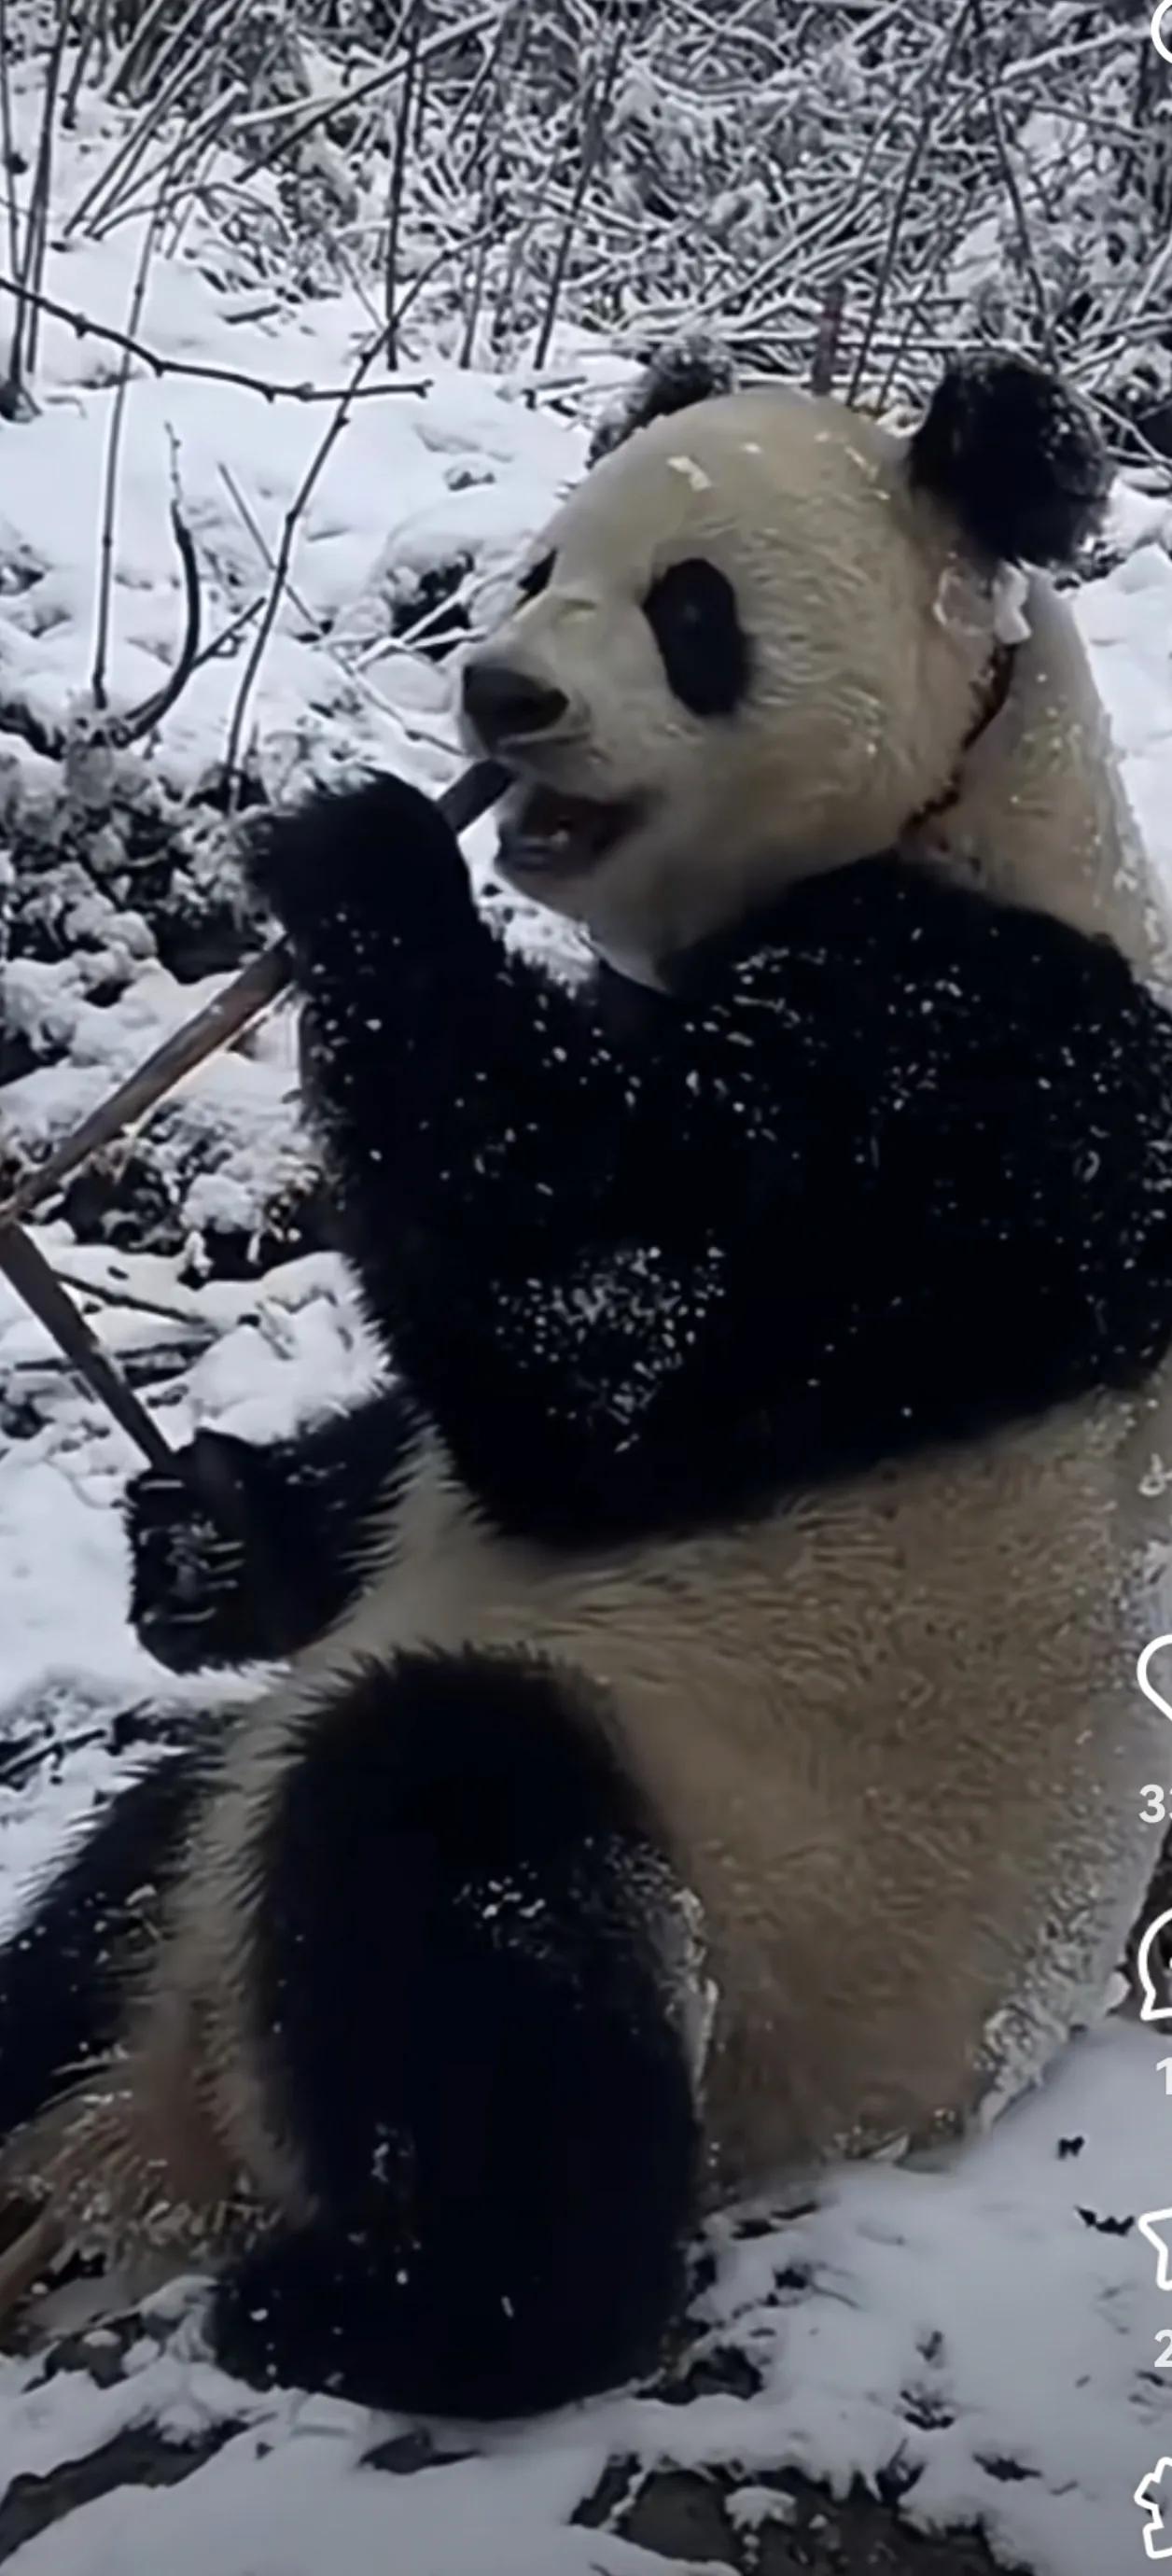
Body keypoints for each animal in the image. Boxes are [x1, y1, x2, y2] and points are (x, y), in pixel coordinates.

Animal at [2, 353, 1172, 2421]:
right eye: (544, 562)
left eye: (691, 613)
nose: (497, 697)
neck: (970, 803)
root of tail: (155, 2153)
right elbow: (433, 1423)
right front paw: (204, 1538)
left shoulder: (992, 1084)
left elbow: (613, 1341)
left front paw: (358, 860)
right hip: (192, 1916)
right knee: (121, 1889)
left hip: (772, 1916)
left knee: (468, 1865)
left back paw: (406, 2306)